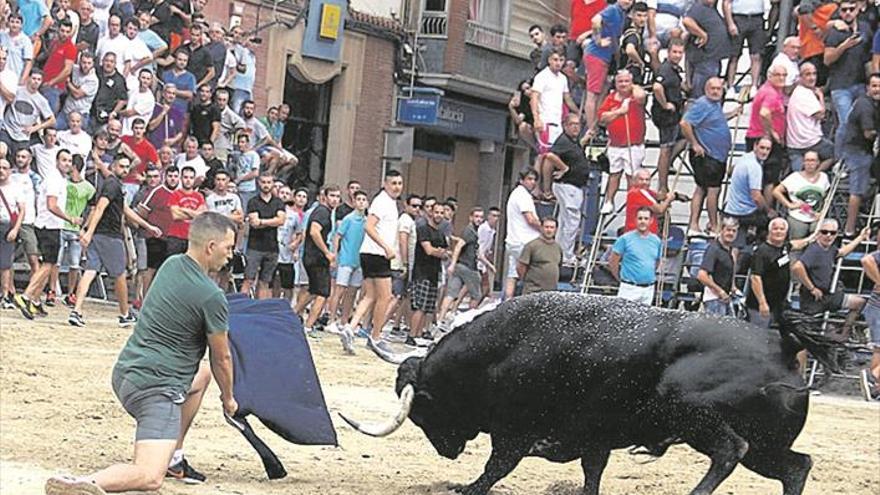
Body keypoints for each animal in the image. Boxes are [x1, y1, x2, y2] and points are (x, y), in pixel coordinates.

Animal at [342, 294, 820, 495]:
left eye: (423, 409)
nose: (448, 452)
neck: (504, 348)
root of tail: (781, 345)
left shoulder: (515, 433)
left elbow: (496, 468)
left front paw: (467, 486)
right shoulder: (594, 439)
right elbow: (592, 474)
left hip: (693, 415)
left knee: (728, 451)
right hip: (768, 444)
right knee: (796, 467)